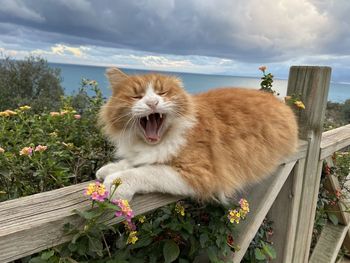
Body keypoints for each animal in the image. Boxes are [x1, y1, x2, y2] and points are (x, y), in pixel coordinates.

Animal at [95, 68, 298, 204]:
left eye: (162, 93)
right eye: (136, 96)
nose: (152, 102)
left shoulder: (199, 173)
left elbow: (147, 171)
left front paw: (116, 182)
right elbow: (132, 163)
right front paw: (110, 168)